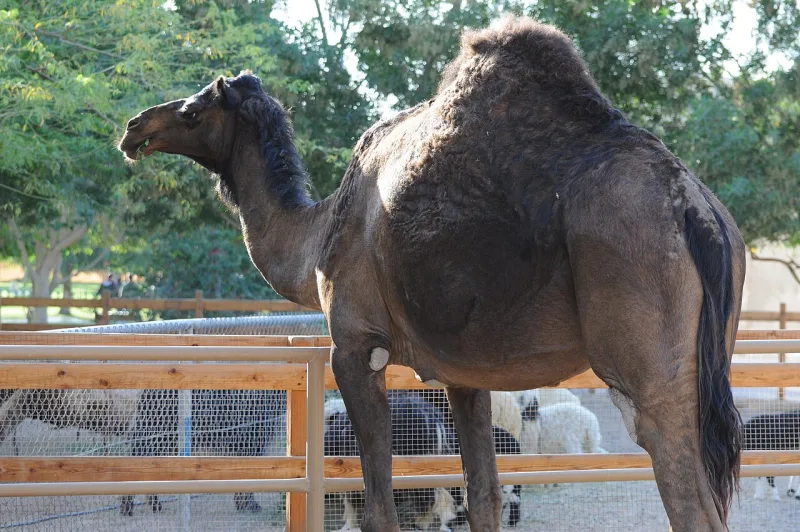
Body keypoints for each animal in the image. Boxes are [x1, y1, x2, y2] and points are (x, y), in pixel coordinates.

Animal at [119, 18, 746, 531]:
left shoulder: (354, 346)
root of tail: (698, 213)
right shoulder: (466, 373)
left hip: (648, 366)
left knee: (690, 501)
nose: (134, 127)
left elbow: (379, 508)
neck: (318, 234)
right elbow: (482, 495)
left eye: (193, 110)